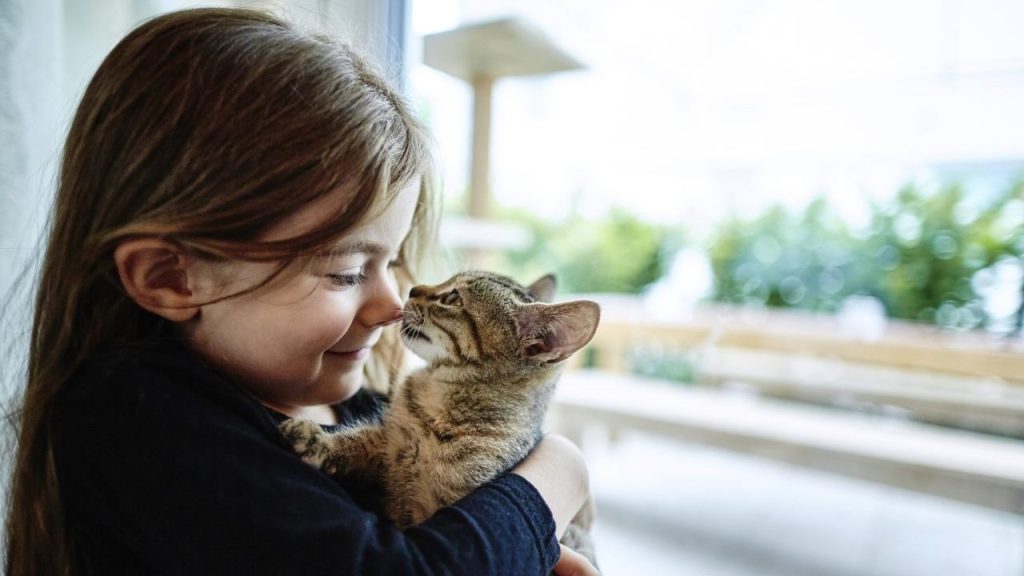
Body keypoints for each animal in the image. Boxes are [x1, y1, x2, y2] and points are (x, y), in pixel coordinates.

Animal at [278, 270, 598, 565]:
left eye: (452, 300)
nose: (413, 289)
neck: (437, 403)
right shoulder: (388, 442)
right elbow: (355, 440)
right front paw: (319, 441)